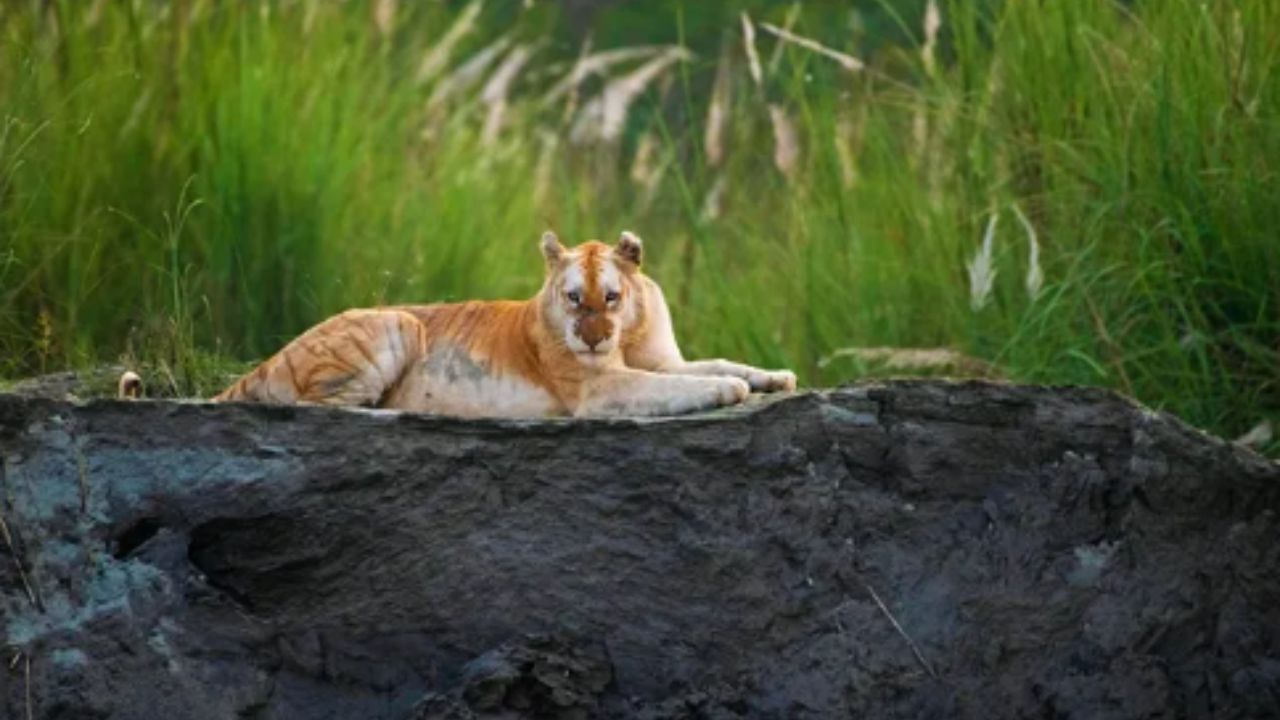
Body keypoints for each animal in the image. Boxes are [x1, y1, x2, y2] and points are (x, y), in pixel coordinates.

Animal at [127, 230, 798, 415]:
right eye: (573, 299)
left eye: (610, 298)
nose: (592, 337)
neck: (627, 335)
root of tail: (268, 360)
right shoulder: (598, 388)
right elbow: (680, 385)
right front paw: (730, 390)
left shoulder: (660, 357)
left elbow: (715, 363)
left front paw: (775, 377)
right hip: (395, 324)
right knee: (324, 408)